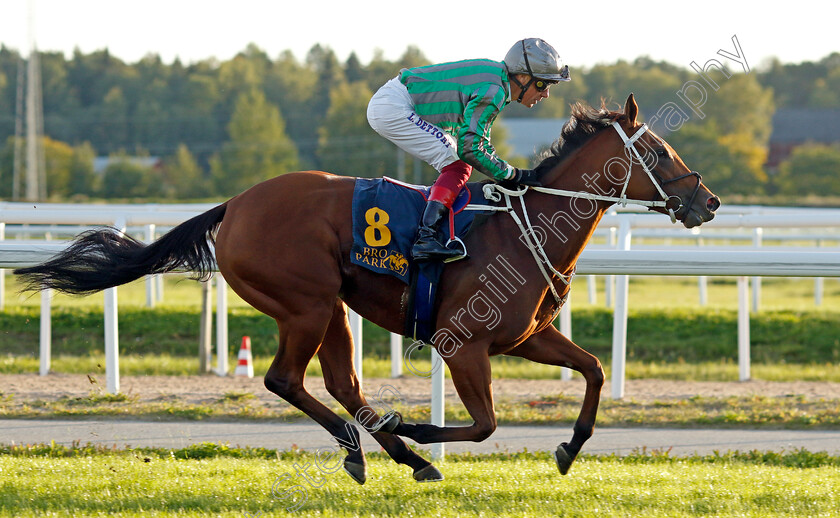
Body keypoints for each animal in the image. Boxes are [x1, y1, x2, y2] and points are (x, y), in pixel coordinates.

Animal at [13, 93, 720, 484]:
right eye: (658, 153)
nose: (707, 201)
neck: (525, 228)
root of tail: (235, 204)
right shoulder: (461, 343)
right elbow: (485, 424)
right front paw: (424, 429)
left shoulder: (527, 338)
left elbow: (594, 370)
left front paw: (570, 449)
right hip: (306, 301)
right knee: (288, 380)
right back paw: (383, 447)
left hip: (328, 306)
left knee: (339, 384)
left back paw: (391, 451)